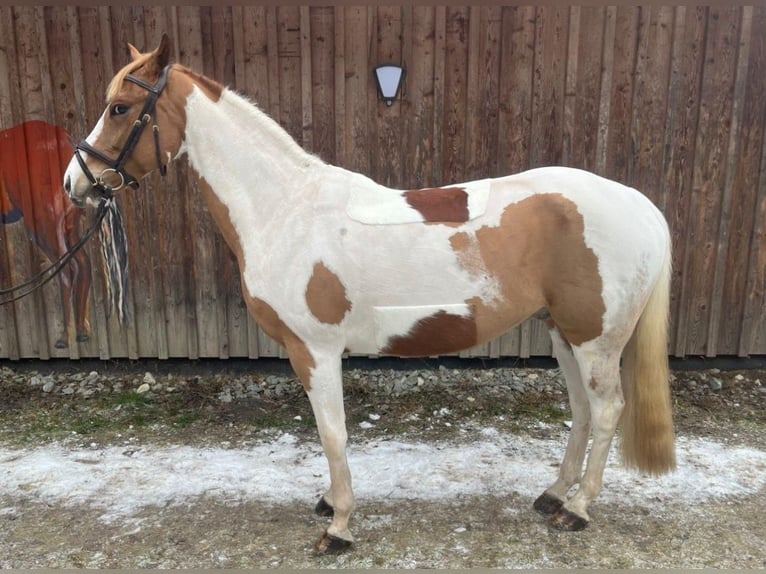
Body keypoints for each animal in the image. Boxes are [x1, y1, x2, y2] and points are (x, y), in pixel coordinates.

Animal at [1, 120, 92, 349]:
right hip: (70, 226)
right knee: (84, 265)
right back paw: (81, 332)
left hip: (44, 225)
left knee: (67, 269)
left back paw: (64, 337)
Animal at [64, 34, 676, 553]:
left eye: (120, 108)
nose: (76, 184)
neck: (284, 208)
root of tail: (641, 205)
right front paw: (331, 506)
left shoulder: (315, 351)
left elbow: (332, 434)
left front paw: (338, 527)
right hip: (563, 332)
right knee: (581, 410)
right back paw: (552, 495)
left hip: (596, 339)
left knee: (607, 410)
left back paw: (577, 509)